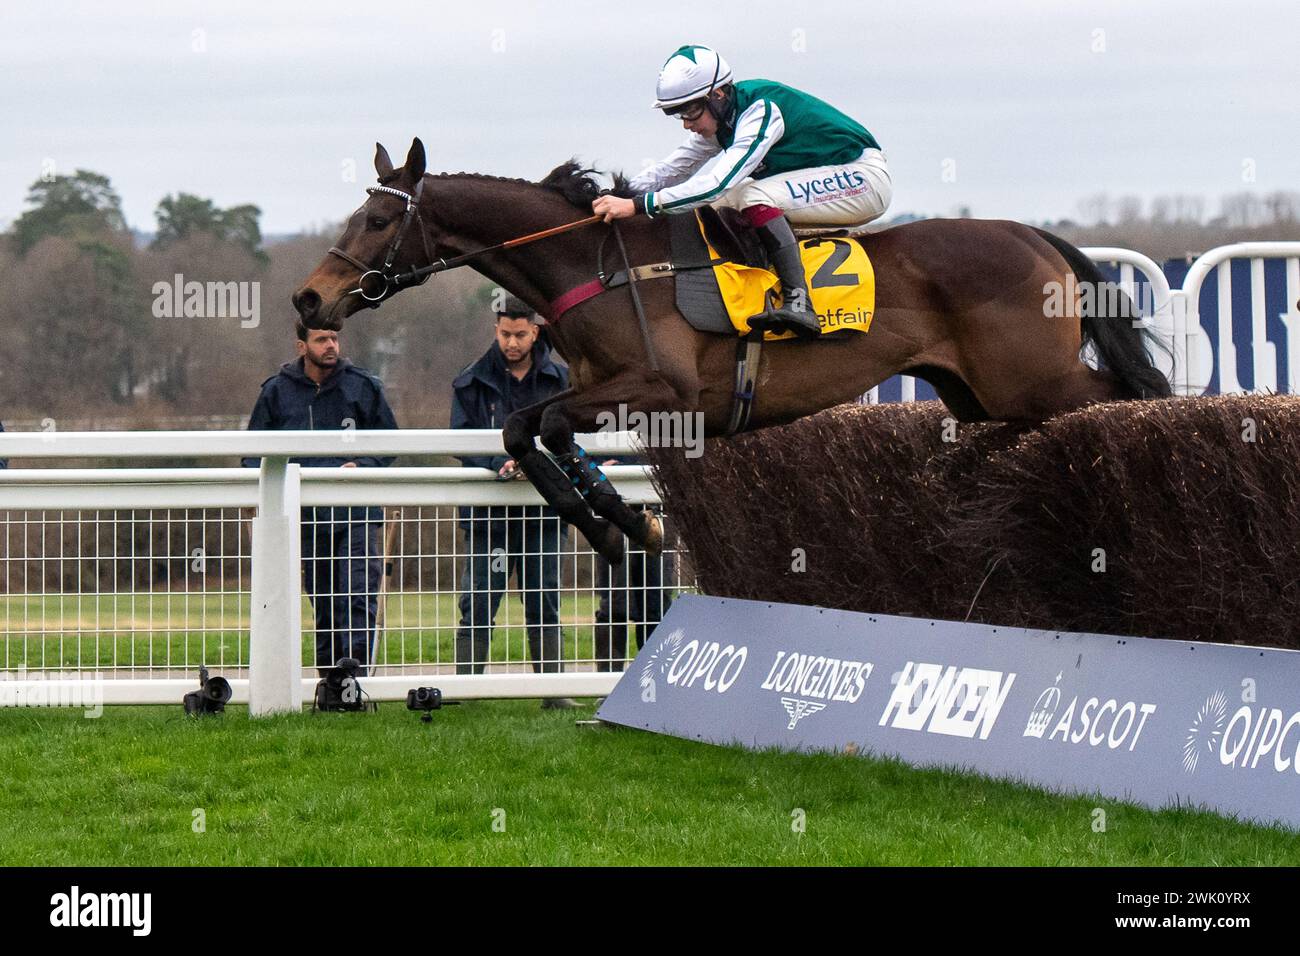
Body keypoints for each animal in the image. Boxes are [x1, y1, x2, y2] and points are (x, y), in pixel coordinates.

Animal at [295, 138, 1170, 564]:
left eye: (379, 220)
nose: (309, 299)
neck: (598, 266)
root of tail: (1033, 235)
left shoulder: (667, 389)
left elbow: (543, 427)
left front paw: (623, 523)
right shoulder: (603, 389)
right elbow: (525, 428)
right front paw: (618, 527)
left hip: (1036, 378)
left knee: (1127, 404)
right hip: (977, 392)